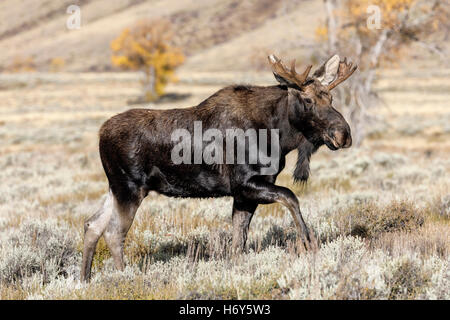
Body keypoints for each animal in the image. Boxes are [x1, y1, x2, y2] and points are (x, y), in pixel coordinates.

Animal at [80, 53, 356, 282]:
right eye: (308, 99)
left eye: (331, 97)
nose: (343, 134)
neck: (279, 135)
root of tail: (100, 134)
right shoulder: (245, 183)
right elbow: (291, 197)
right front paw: (310, 245)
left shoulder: (245, 194)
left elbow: (239, 239)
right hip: (129, 188)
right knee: (113, 232)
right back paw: (123, 277)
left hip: (115, 187)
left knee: (92, 225)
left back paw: (85, 279)